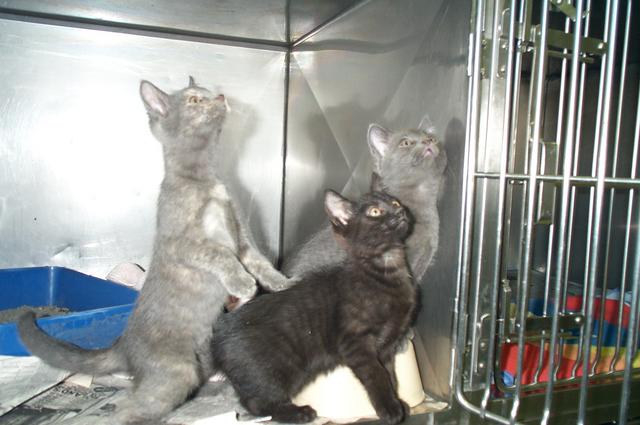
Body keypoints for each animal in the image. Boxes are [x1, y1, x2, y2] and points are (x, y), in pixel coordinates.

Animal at [18, 77, 291, 424]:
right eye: (194, 100)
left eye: (208, 93)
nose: (220, 97)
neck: (204, 180)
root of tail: (124, 343)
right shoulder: (180, 242)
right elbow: (219, 254)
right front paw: (242, 283)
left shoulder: (242, 238)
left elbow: (259, 260)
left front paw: (284, 282)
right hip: (176, 369)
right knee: (130, 406)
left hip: (204, 354)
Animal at [211, 189, 418, 425]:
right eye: (375, 211)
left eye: (395, 202)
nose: (401, 211)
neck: (388, 268)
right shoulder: (354, 342)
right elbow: (377, 374)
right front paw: (389, 409)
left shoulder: (387, 345)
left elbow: (391, 375)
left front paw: (399, 403)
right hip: (277, 368)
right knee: (257, 402)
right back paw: (299, 413)